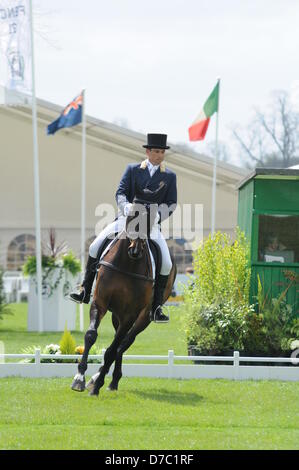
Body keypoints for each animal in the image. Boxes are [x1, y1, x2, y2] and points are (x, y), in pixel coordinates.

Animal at [71, 200, 177, 394]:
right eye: (131, 217)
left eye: (149, 221)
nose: (135, 250)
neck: (128, 264)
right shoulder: (100, 302)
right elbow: (91, 335)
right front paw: (79, 378)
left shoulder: (130, 314)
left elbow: (112, 349)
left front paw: (96, 385)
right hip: (116, 314)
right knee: (119, 341)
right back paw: (108, 380)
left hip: (143, 317)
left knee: (124, 342)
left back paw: (103, 379)